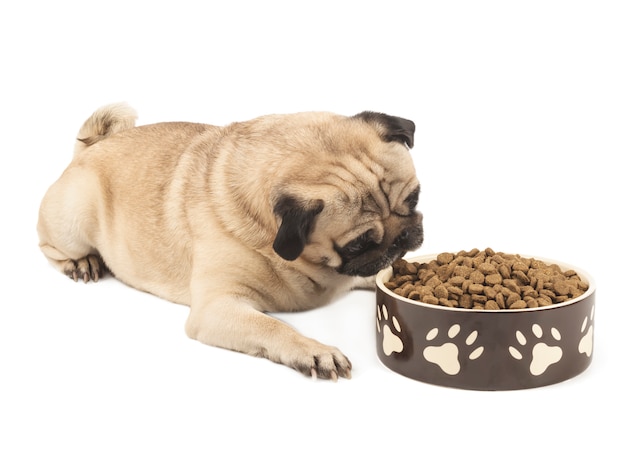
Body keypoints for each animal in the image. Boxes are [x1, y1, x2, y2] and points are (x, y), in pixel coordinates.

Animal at [36, 105, 422, 382]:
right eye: (357, 244)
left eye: (414, 198)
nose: (403, 237)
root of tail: (90, 148)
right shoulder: (217, 308)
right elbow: (273, 327)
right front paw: (313, 350)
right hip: (74, 219)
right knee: (50, 247)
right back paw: (81, 262)